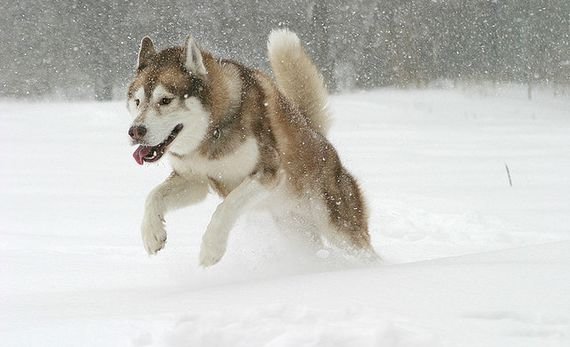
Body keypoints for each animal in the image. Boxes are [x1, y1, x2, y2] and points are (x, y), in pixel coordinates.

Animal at [128, 29, 374, 266]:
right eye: (137, 102)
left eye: (165, 100)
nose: (135, 131)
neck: (211, 133)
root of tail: (317, 135)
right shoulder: (194, 180)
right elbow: (153, 196)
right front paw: (152, 234)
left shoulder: (268, 173)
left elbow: (226, 206)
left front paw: (211, 249)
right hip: (296, 230)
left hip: (339, 227)